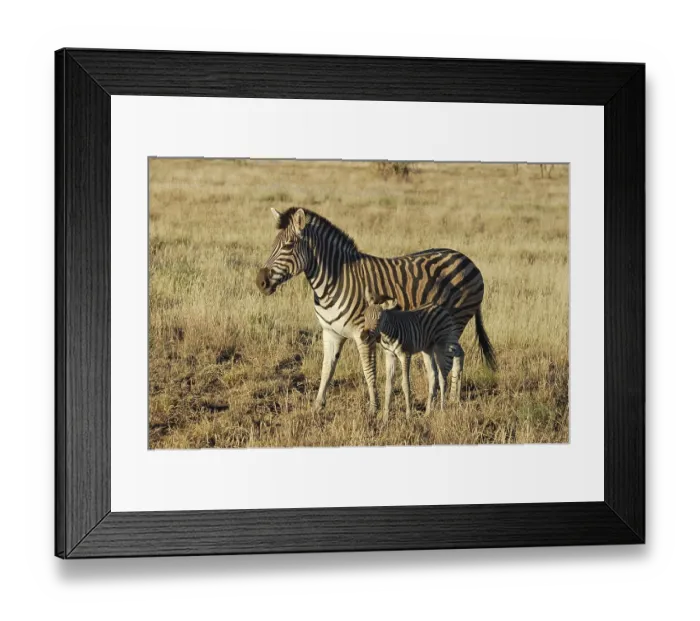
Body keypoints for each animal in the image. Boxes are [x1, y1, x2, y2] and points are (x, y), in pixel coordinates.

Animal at [360, 290, 463, 421]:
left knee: (442, 376)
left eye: (379, 318)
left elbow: (405, 384)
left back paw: (442, 409)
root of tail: (438, 306)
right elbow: (388, 385)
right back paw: (428, 412)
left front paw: (408, 415)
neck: (388, 334)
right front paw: (385, 417)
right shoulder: (390, 355)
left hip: (442, 345)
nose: (363, 337)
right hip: (427, 348)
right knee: (433, 374)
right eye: (364, 316)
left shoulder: (405, 355)